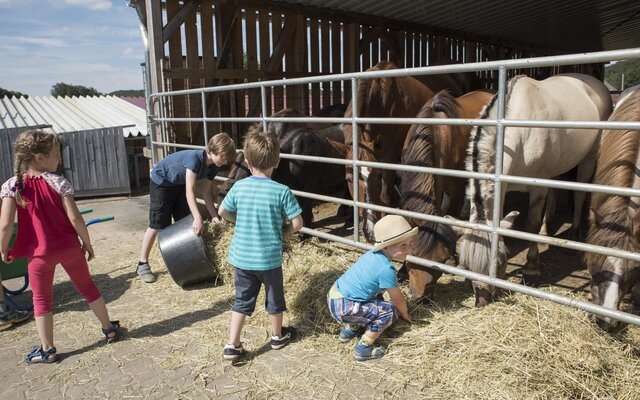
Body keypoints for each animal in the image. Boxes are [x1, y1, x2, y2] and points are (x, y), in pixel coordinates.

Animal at [458, 73, 612, 308]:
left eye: (499, 261)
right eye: (466, 264)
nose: (481, 302)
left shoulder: (537, 186)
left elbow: (530, 224)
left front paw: (531, 269)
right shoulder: (504, 186)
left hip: (588, 159)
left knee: (579, 195)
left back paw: (575, 231)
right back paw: (546, 231)